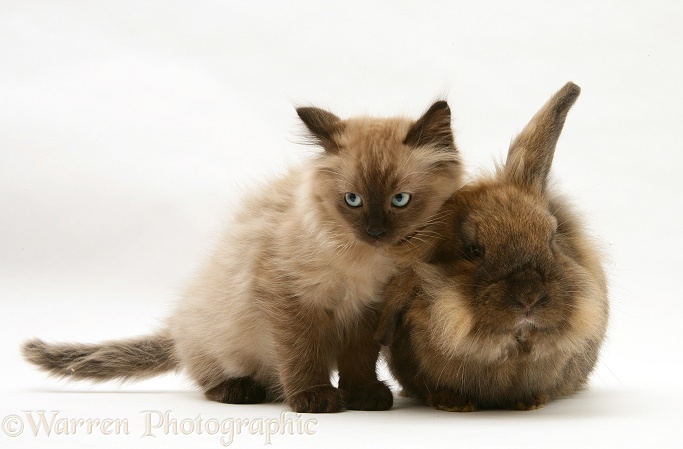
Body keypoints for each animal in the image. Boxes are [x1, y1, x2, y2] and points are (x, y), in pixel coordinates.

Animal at [22, 100, 464, 412]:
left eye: (400, 200)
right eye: (352, 200)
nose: (375, 232)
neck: (365, 264)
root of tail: (176, 329)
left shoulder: (368, 312)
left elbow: (358, 360)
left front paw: (363, 396)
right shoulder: (289, 300)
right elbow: (302, 355)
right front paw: (315, 399)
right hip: (216, 336)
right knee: (207, 375)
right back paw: (241, 389)